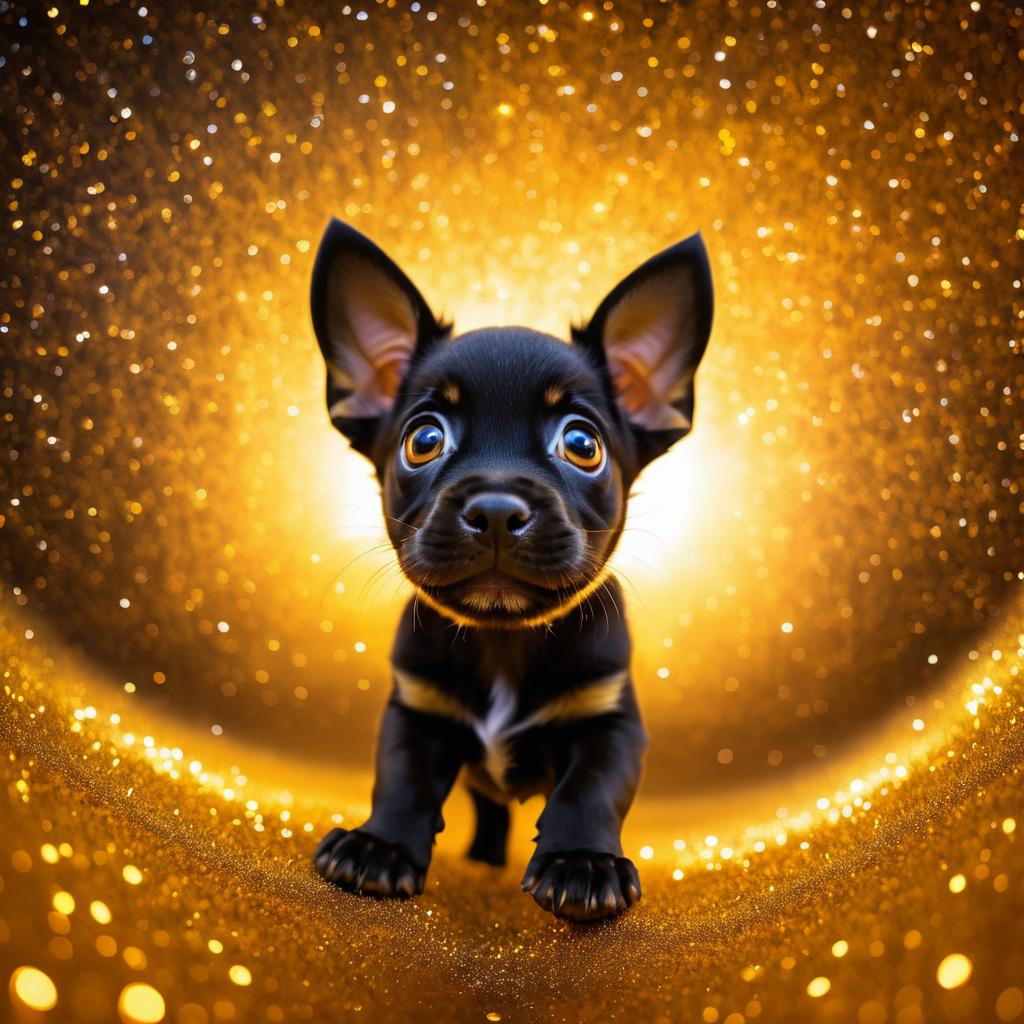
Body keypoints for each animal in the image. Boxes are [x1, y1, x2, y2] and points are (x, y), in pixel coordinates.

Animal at [309, 220, 712, 925]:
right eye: (424, 440)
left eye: (582, 445)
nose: (496, 508)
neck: (503, 638)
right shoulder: (417, 711)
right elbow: (402, 780)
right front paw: (379, 846)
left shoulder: (609, 722)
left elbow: (590, 790)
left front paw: (582, 863)